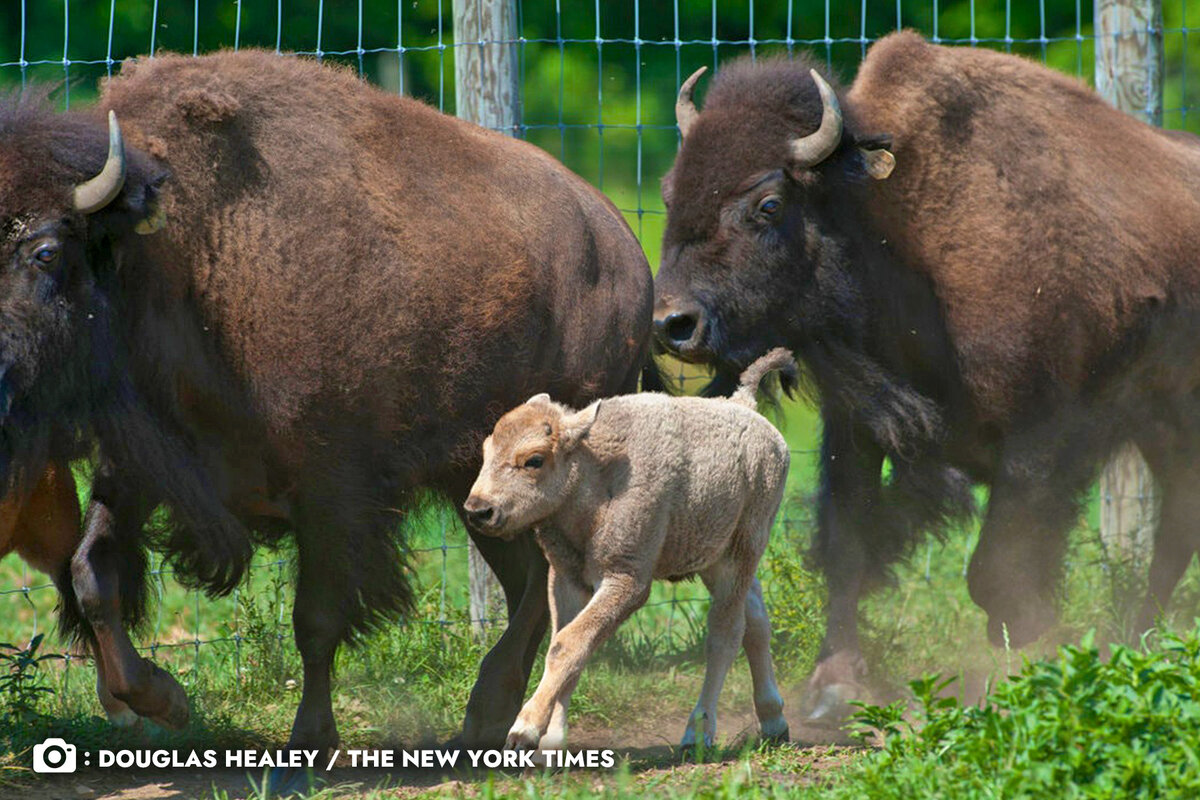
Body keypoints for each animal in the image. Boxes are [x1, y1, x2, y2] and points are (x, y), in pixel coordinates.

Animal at [0, 51, 648, 758]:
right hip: (478, 491)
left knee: (542, 583)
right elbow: (92, 573)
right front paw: (162, 699)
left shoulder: (333, 488)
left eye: (45, 251)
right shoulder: (143, 465)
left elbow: (315, 618)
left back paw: (489, 711)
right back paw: (489, 715)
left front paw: (309, 739)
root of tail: (622, 244)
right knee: (527, 580)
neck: (179, 258)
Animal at [468, 347, 796, 753]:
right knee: (756, 620)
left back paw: (698, 732)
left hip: (743, 550)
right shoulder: (566, 580)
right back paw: (774, 722)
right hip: (715, 558)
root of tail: (744, 404)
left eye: (534, 460)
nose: (478, 510)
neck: (595, 472)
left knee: (726, 631)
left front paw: (524, 731)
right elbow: (567, 645)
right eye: (486, 451)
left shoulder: (627, 580)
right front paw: (552, 742)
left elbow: (569, 643)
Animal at [652, 31, 1200, 719]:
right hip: (1163, 431)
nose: (672, 323)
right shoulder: (859, 428)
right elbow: (850, 542)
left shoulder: (1041, 440)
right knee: (1179, 522)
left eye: (768, 205)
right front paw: (834, 687)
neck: (899, 234)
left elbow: (997, 571)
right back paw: (1138, 633)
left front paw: (1033, 653)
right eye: (669, 190)